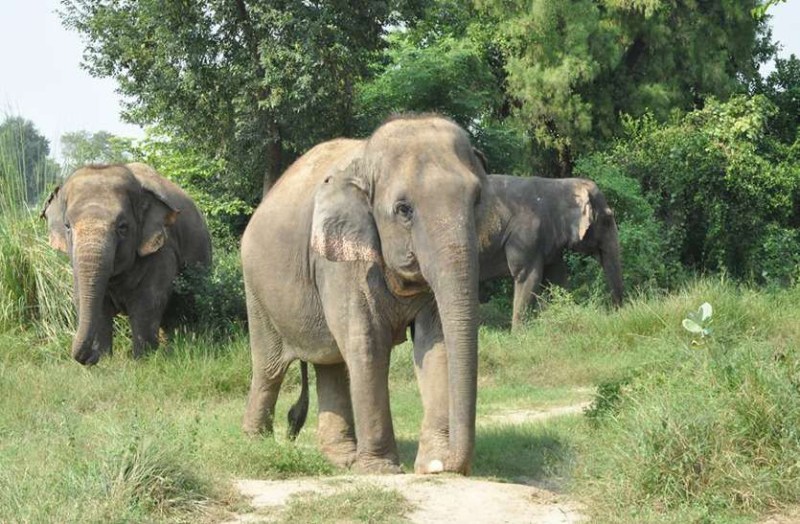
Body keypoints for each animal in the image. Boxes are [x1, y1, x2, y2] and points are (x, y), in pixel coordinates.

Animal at [41, 162, 212, 365]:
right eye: (67, 226)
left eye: (122, 227)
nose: (90, 357)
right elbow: (93, 304)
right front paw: (105, 359)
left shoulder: (163, 250)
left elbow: (148, 301)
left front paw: (143, 361)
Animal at [240, 114, 489, 475]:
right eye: (403, 209)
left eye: (477, 200)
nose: (445, 465)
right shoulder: (340, 262)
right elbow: (366, 342)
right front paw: (381, 470)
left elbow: (436, 341)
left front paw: (430, 462)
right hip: (256, 286)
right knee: (269, 368)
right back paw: (256, 444)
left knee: (330, 363)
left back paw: (340, 458)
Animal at [479, 175, 623, 329]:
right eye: (607, 220)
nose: (615, 313)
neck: (559, 184)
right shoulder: (526, 236)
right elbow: (528, 276)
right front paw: (519, 333)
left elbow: (557, 277)